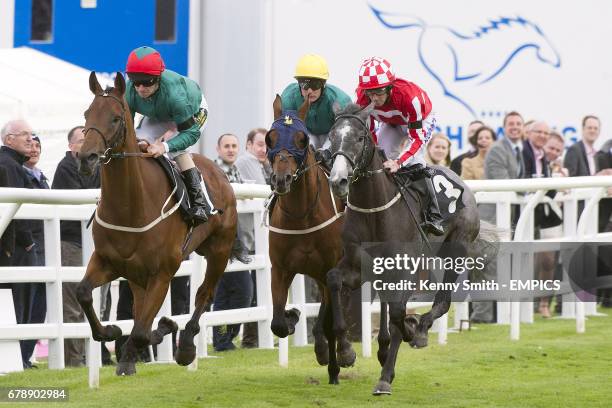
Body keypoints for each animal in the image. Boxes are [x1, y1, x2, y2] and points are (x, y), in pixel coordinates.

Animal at [76, 72, 239, 376]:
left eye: (115, 118)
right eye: (87, 113)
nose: (85, 158)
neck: (130, 206)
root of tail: (221, 172)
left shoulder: (162, 273)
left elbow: (141, 330)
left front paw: (156, 336)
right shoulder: (107, 261)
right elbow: (84, 294)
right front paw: (113, 332)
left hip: (220, 250)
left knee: (204, 294)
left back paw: (185, 347)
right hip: (136, 274)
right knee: (141, 310)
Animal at [266, 95, 356, 382]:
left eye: (302, 139)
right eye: (270, 138)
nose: (281, 179)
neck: (301, 216)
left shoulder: (331, 268)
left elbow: (332, 319)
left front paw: (344, 352)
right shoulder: (280, 269)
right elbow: (277, 324)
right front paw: (292, 315)